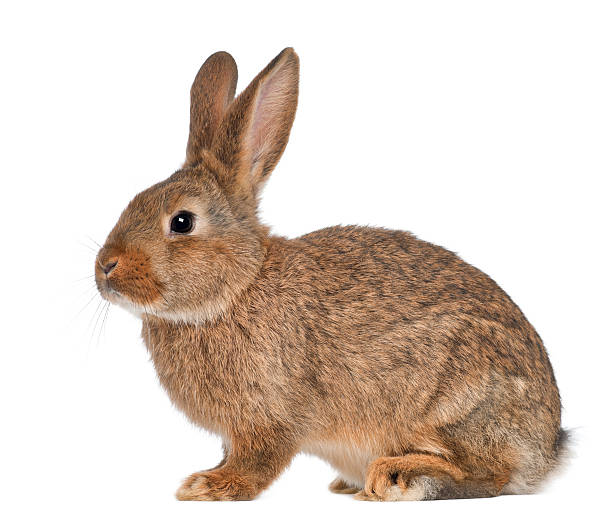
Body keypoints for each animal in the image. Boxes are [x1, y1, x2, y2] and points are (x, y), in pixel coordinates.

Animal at [93, 47, 568, 500]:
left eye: (182, 222)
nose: (105, 267)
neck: (238, 288)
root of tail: (547, 448)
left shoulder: (270, 417)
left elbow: (259, 460)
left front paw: (210, 486)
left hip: (456, 403)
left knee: (489, 474)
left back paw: (398, 477)